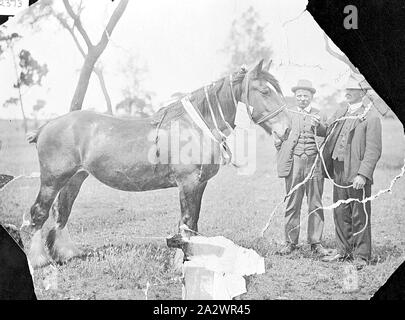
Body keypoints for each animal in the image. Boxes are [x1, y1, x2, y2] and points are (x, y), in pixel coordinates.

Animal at [22, 59, 290, 268]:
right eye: (264, 91)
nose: (286, 130)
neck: (195, 126)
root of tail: (47, 126)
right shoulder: (188, 184)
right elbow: (186, 223)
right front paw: (182, 263)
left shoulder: (199, 185)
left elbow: (193, 224)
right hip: (52, 180)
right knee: (39, 213)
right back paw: (39, 260)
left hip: (74, 178)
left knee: (61, 213)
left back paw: (67, 254)